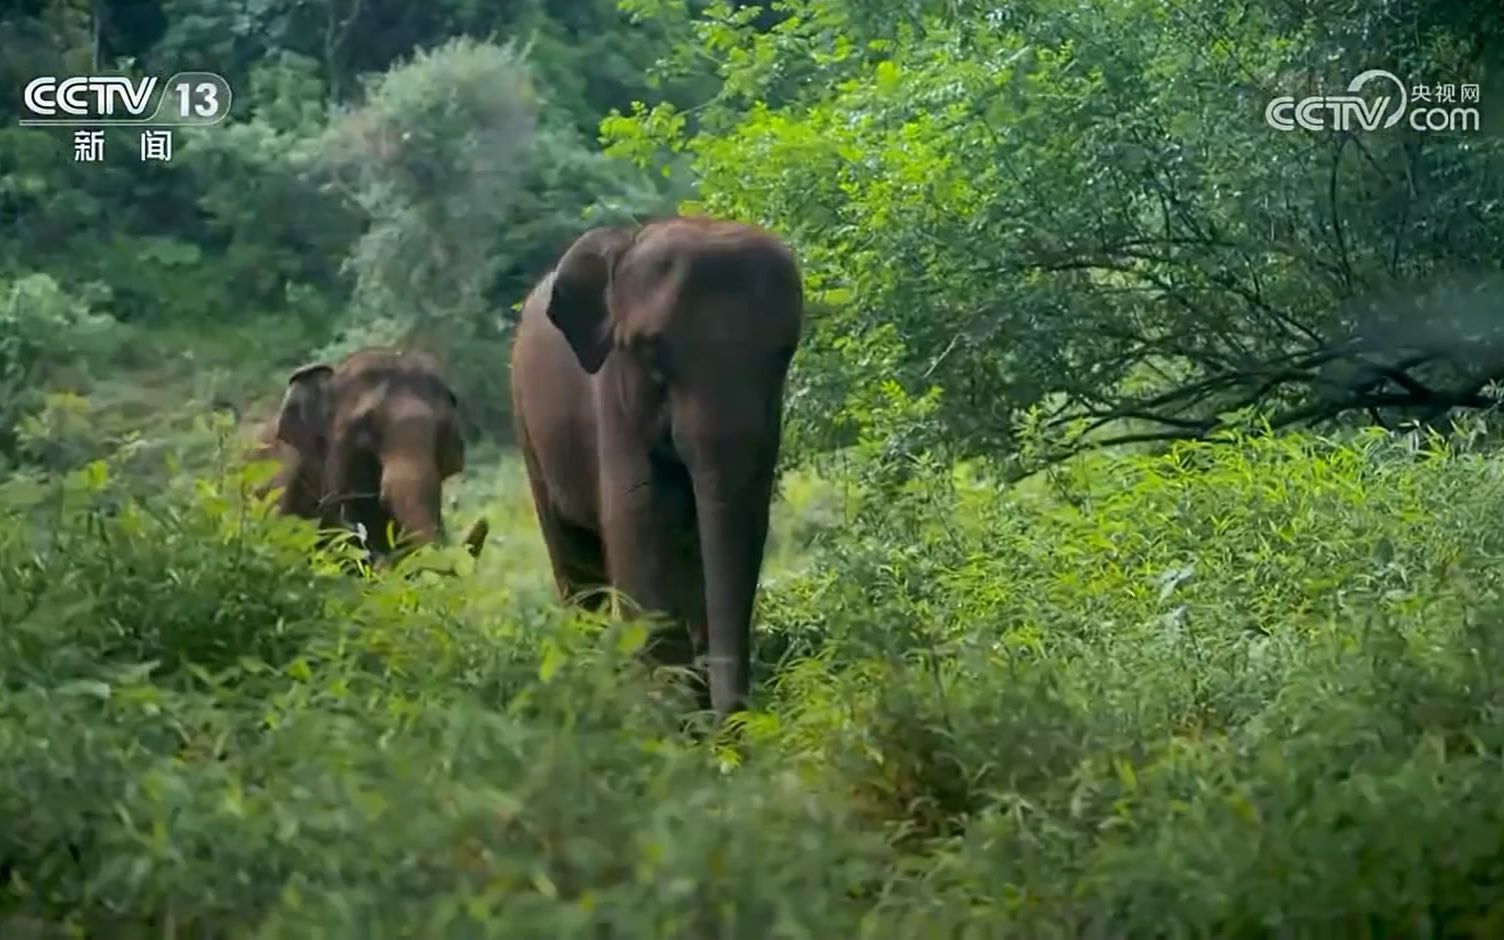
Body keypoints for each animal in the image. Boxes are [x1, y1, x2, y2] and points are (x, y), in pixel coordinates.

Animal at [511, 215, 806, 709]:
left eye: (784, 353)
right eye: (649, 351)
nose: (735, 720)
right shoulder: (612, 401)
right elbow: (642, 523)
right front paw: (670, 710)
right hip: (526, 423)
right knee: (574, 562)